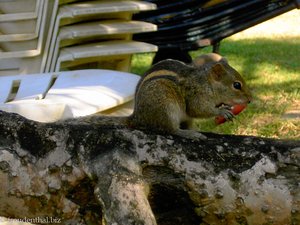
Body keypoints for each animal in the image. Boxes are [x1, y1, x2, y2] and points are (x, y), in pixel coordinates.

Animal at [70, 53, 251, 140]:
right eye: (237, 85)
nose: (250, 100)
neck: (206, 83)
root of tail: (137, 118)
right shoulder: (196, 95)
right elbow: (198, 110)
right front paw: (222, 111)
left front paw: (225, 107)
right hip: (166, 107)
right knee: (171, 130)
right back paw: (189, 134)